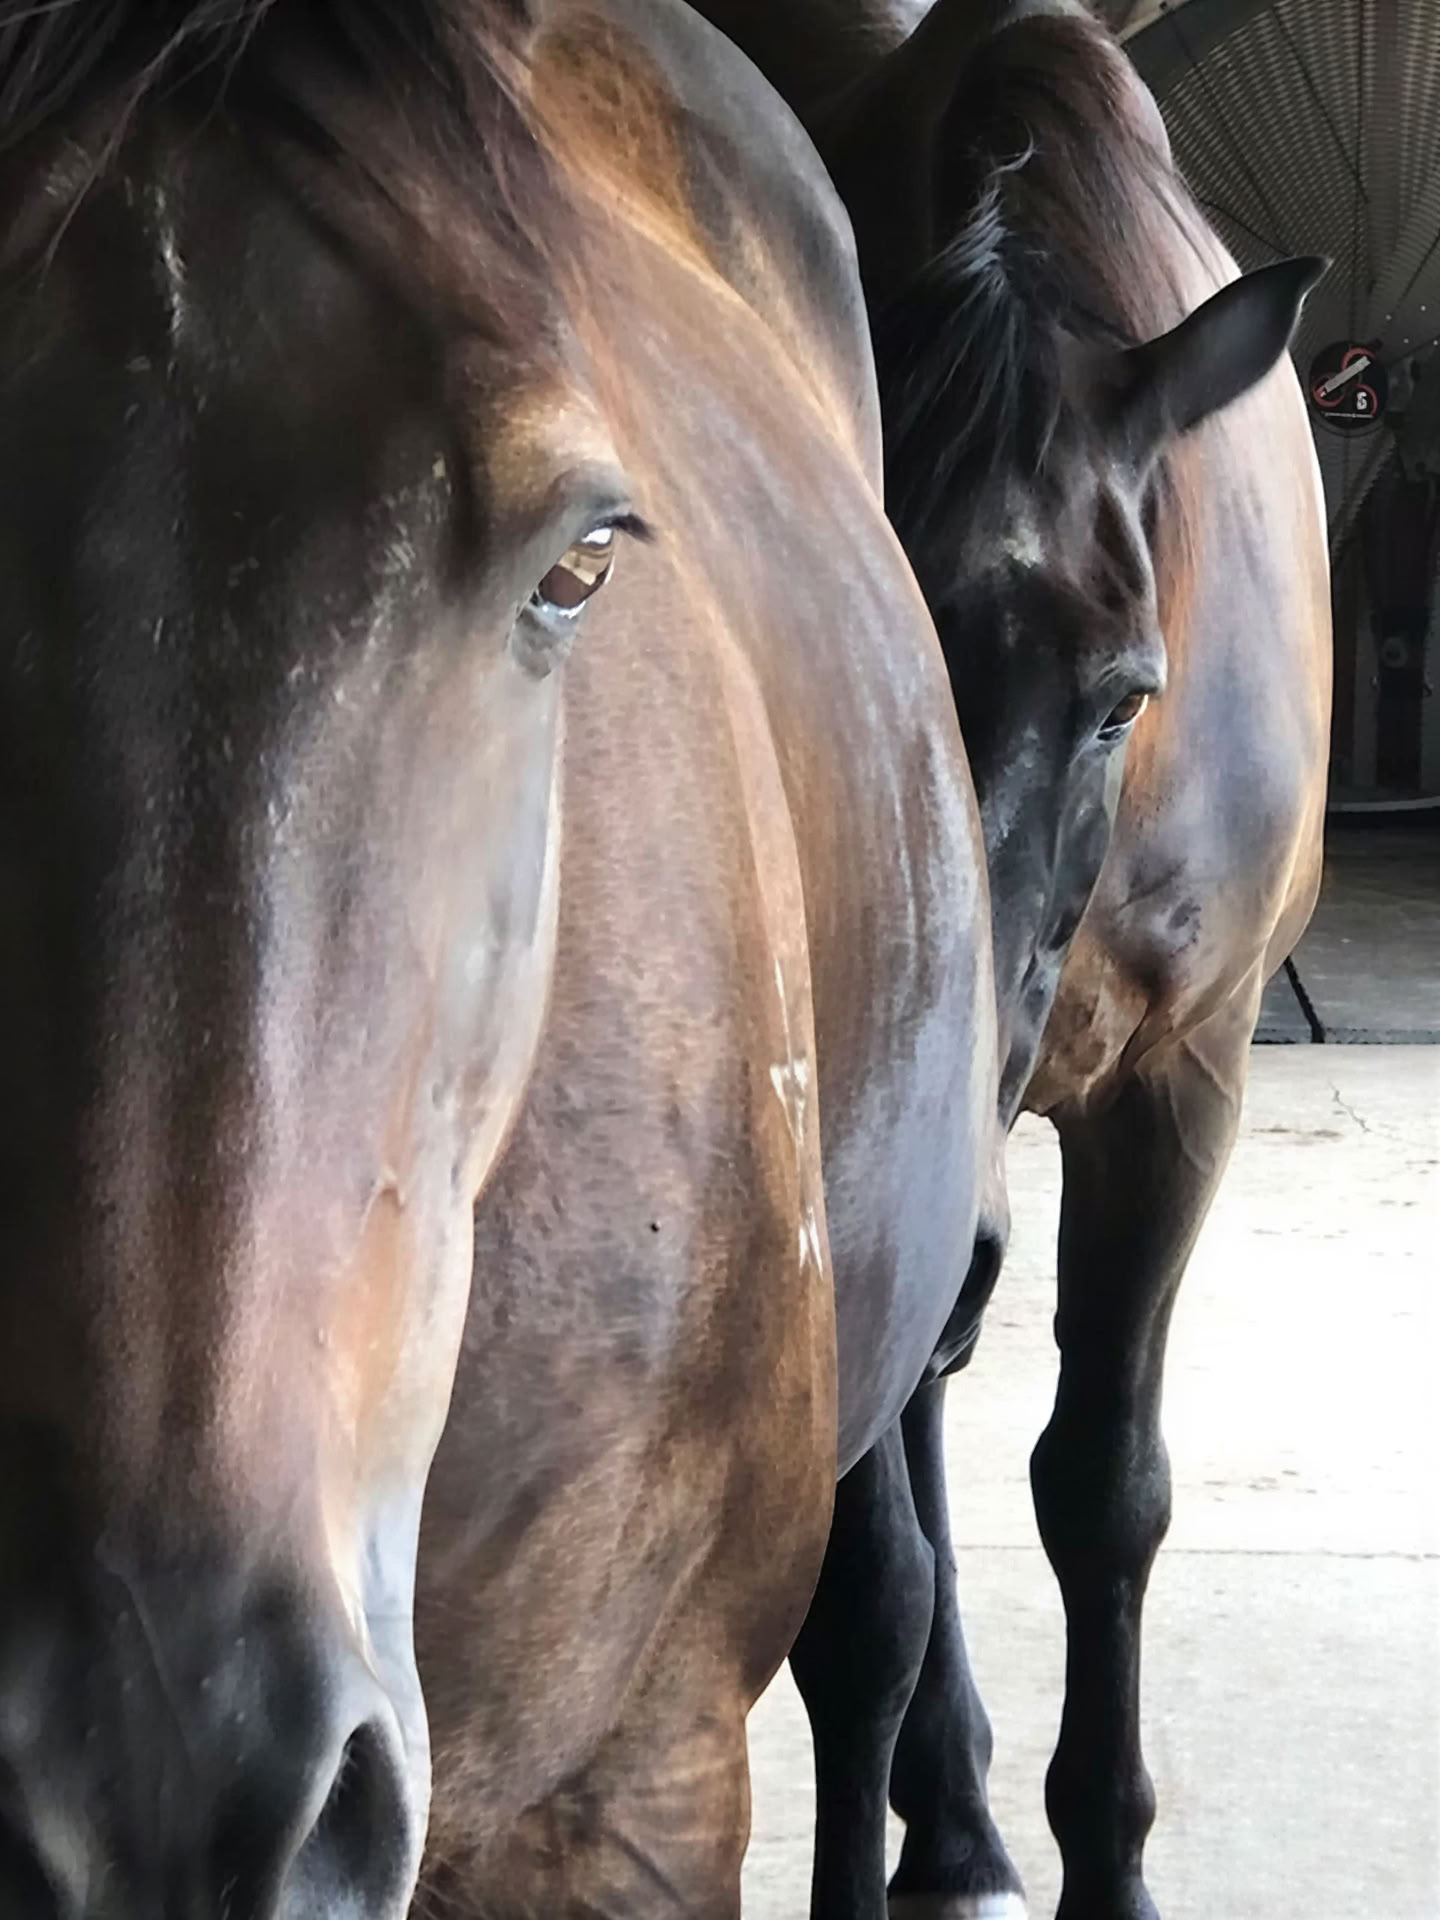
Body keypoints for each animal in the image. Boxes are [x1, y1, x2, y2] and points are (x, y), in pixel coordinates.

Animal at [693, 2, 1331, 1915]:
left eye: (1121, 694)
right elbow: (866, 1593)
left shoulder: (1180, 1091)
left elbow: (1103, 1491)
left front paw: (1104, 1858)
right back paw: (953, 1813)